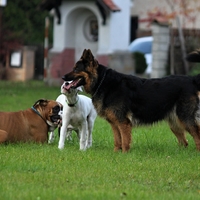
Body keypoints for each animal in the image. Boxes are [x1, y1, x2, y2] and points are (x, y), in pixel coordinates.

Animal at [62, 49, 200, 152]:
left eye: (75, 69)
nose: (63, 77)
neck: (102, 82)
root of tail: (192, 80)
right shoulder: (114, 124)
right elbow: (117, 141)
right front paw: (116, 153)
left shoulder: (123, 123)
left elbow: (125, 141)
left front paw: (124, 154)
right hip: (175, 123)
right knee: (184, 142)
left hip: (185, 119)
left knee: (197, 136)